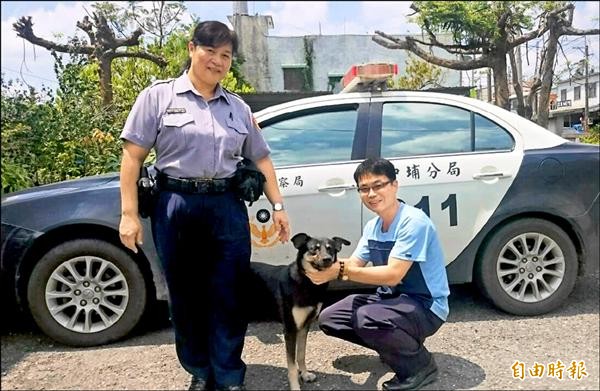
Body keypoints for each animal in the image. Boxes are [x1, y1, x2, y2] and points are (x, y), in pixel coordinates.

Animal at [248, 234, 352, 390]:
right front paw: (295, 386)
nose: (327, 259)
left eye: (330, 249)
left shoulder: (304, 326)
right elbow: (291, 365)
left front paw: (305, 374)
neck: (307, 282)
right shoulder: (290, 329)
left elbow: (301, 354)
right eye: (313, 249)